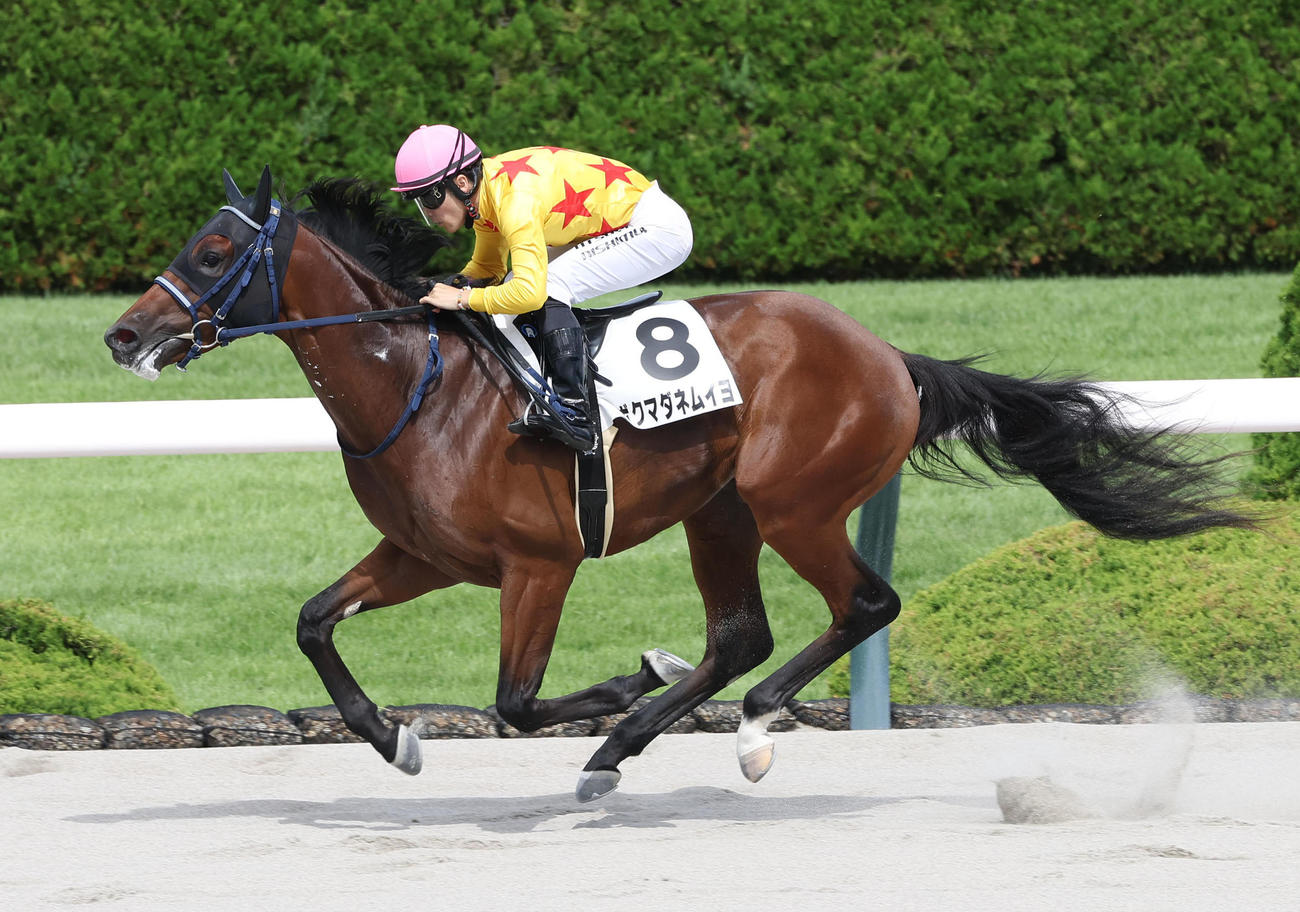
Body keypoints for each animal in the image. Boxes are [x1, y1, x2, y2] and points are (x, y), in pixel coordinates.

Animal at [105, 167, 1253, 802]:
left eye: (212, 250)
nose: (122, 335)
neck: (416, 382)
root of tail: (888, 354)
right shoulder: (424, 556)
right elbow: (313, 623)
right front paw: (396, 740)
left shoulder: (541, 563)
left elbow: (516, 702)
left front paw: (623, 679)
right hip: (722, 511)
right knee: (742, 633)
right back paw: (624, 746)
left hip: (794, 501)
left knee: (862, 604)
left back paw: (738, 730)